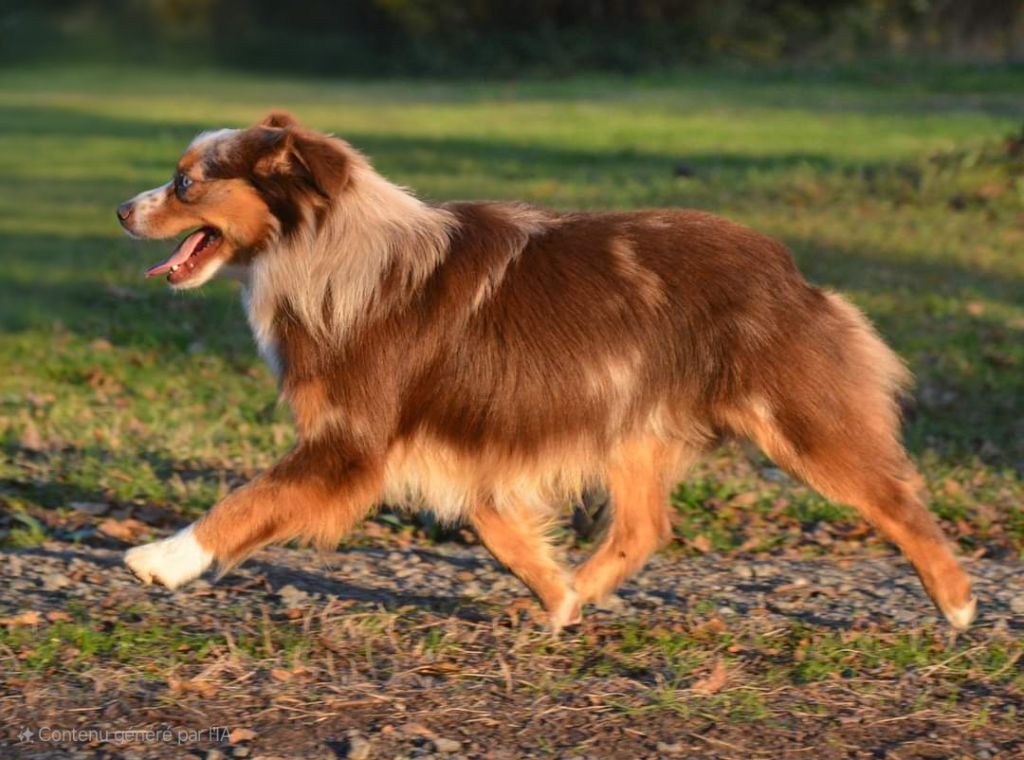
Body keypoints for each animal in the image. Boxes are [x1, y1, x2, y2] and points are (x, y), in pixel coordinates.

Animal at [114, 108, 974, 630]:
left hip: (795, 419)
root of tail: (787, 268)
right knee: (643, 525)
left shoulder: (351, 439)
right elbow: (496, 527)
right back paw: (581, 594)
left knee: (897, 497)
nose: (122, 209)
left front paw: (163, 559)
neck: (321, 250)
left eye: (186, 182)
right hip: (631, 423)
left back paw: (958, 604)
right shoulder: (457, 433)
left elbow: (250, 500)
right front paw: (556, 594)